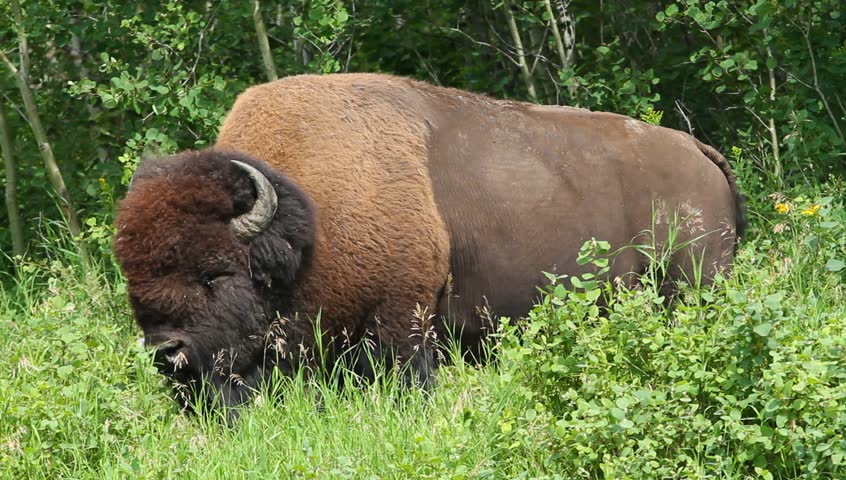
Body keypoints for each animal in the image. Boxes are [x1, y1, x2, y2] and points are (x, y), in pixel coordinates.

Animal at [113, 73, 745, 420]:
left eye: (217, 272)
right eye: (132, 279)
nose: (166, 353)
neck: (311, 224)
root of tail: (698, 152)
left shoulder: (403, 321)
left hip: (693, 289)